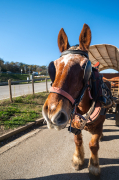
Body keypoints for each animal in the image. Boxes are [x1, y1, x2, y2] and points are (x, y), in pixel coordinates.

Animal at [42, 23, 110, 176]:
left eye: (86, 67)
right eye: (53, 66)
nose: (52, 113)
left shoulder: (99, 123)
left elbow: (93, 144)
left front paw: (94, 166)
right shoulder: (73, 121)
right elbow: (77, 140)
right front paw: (78, 159)